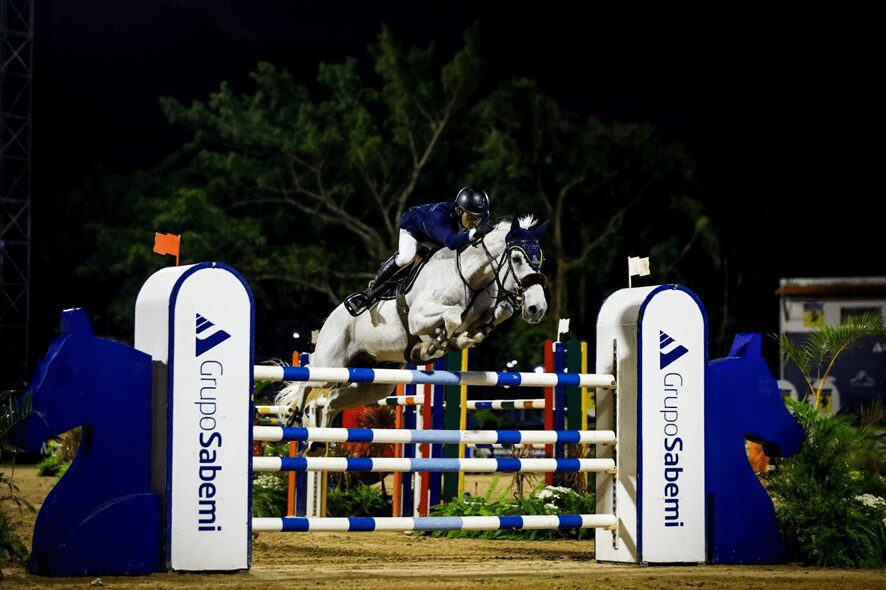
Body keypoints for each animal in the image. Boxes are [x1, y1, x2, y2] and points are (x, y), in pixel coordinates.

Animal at [278, 217, 552, 430]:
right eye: (516, 258)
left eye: (540, 259)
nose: (537, 308)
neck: (470, 277)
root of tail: (329, 322)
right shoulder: (417, 317)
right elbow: (452, 317)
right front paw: (434, 345)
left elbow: (497, 314)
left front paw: (462, 339)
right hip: (330, 365)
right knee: (308, 382)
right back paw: (294, 416)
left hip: (376, 383)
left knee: (333, 400)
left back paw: (317, 444)